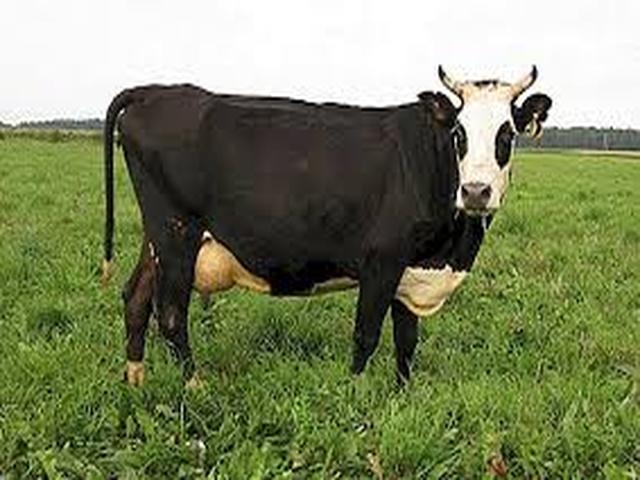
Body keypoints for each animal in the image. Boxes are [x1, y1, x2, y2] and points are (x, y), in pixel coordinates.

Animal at [103, 67, 551, 387]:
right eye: (459, 132)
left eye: (507, 133)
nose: (476, 191)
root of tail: (156, 91)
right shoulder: (381, 261)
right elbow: (366, 336)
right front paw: (355, 398)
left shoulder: (411, 271)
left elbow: (406, 344)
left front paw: (401, 398)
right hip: (177, 233)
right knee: (170, 314)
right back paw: (195, 387)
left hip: (157, 239)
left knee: (136, 298)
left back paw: (135, 382)